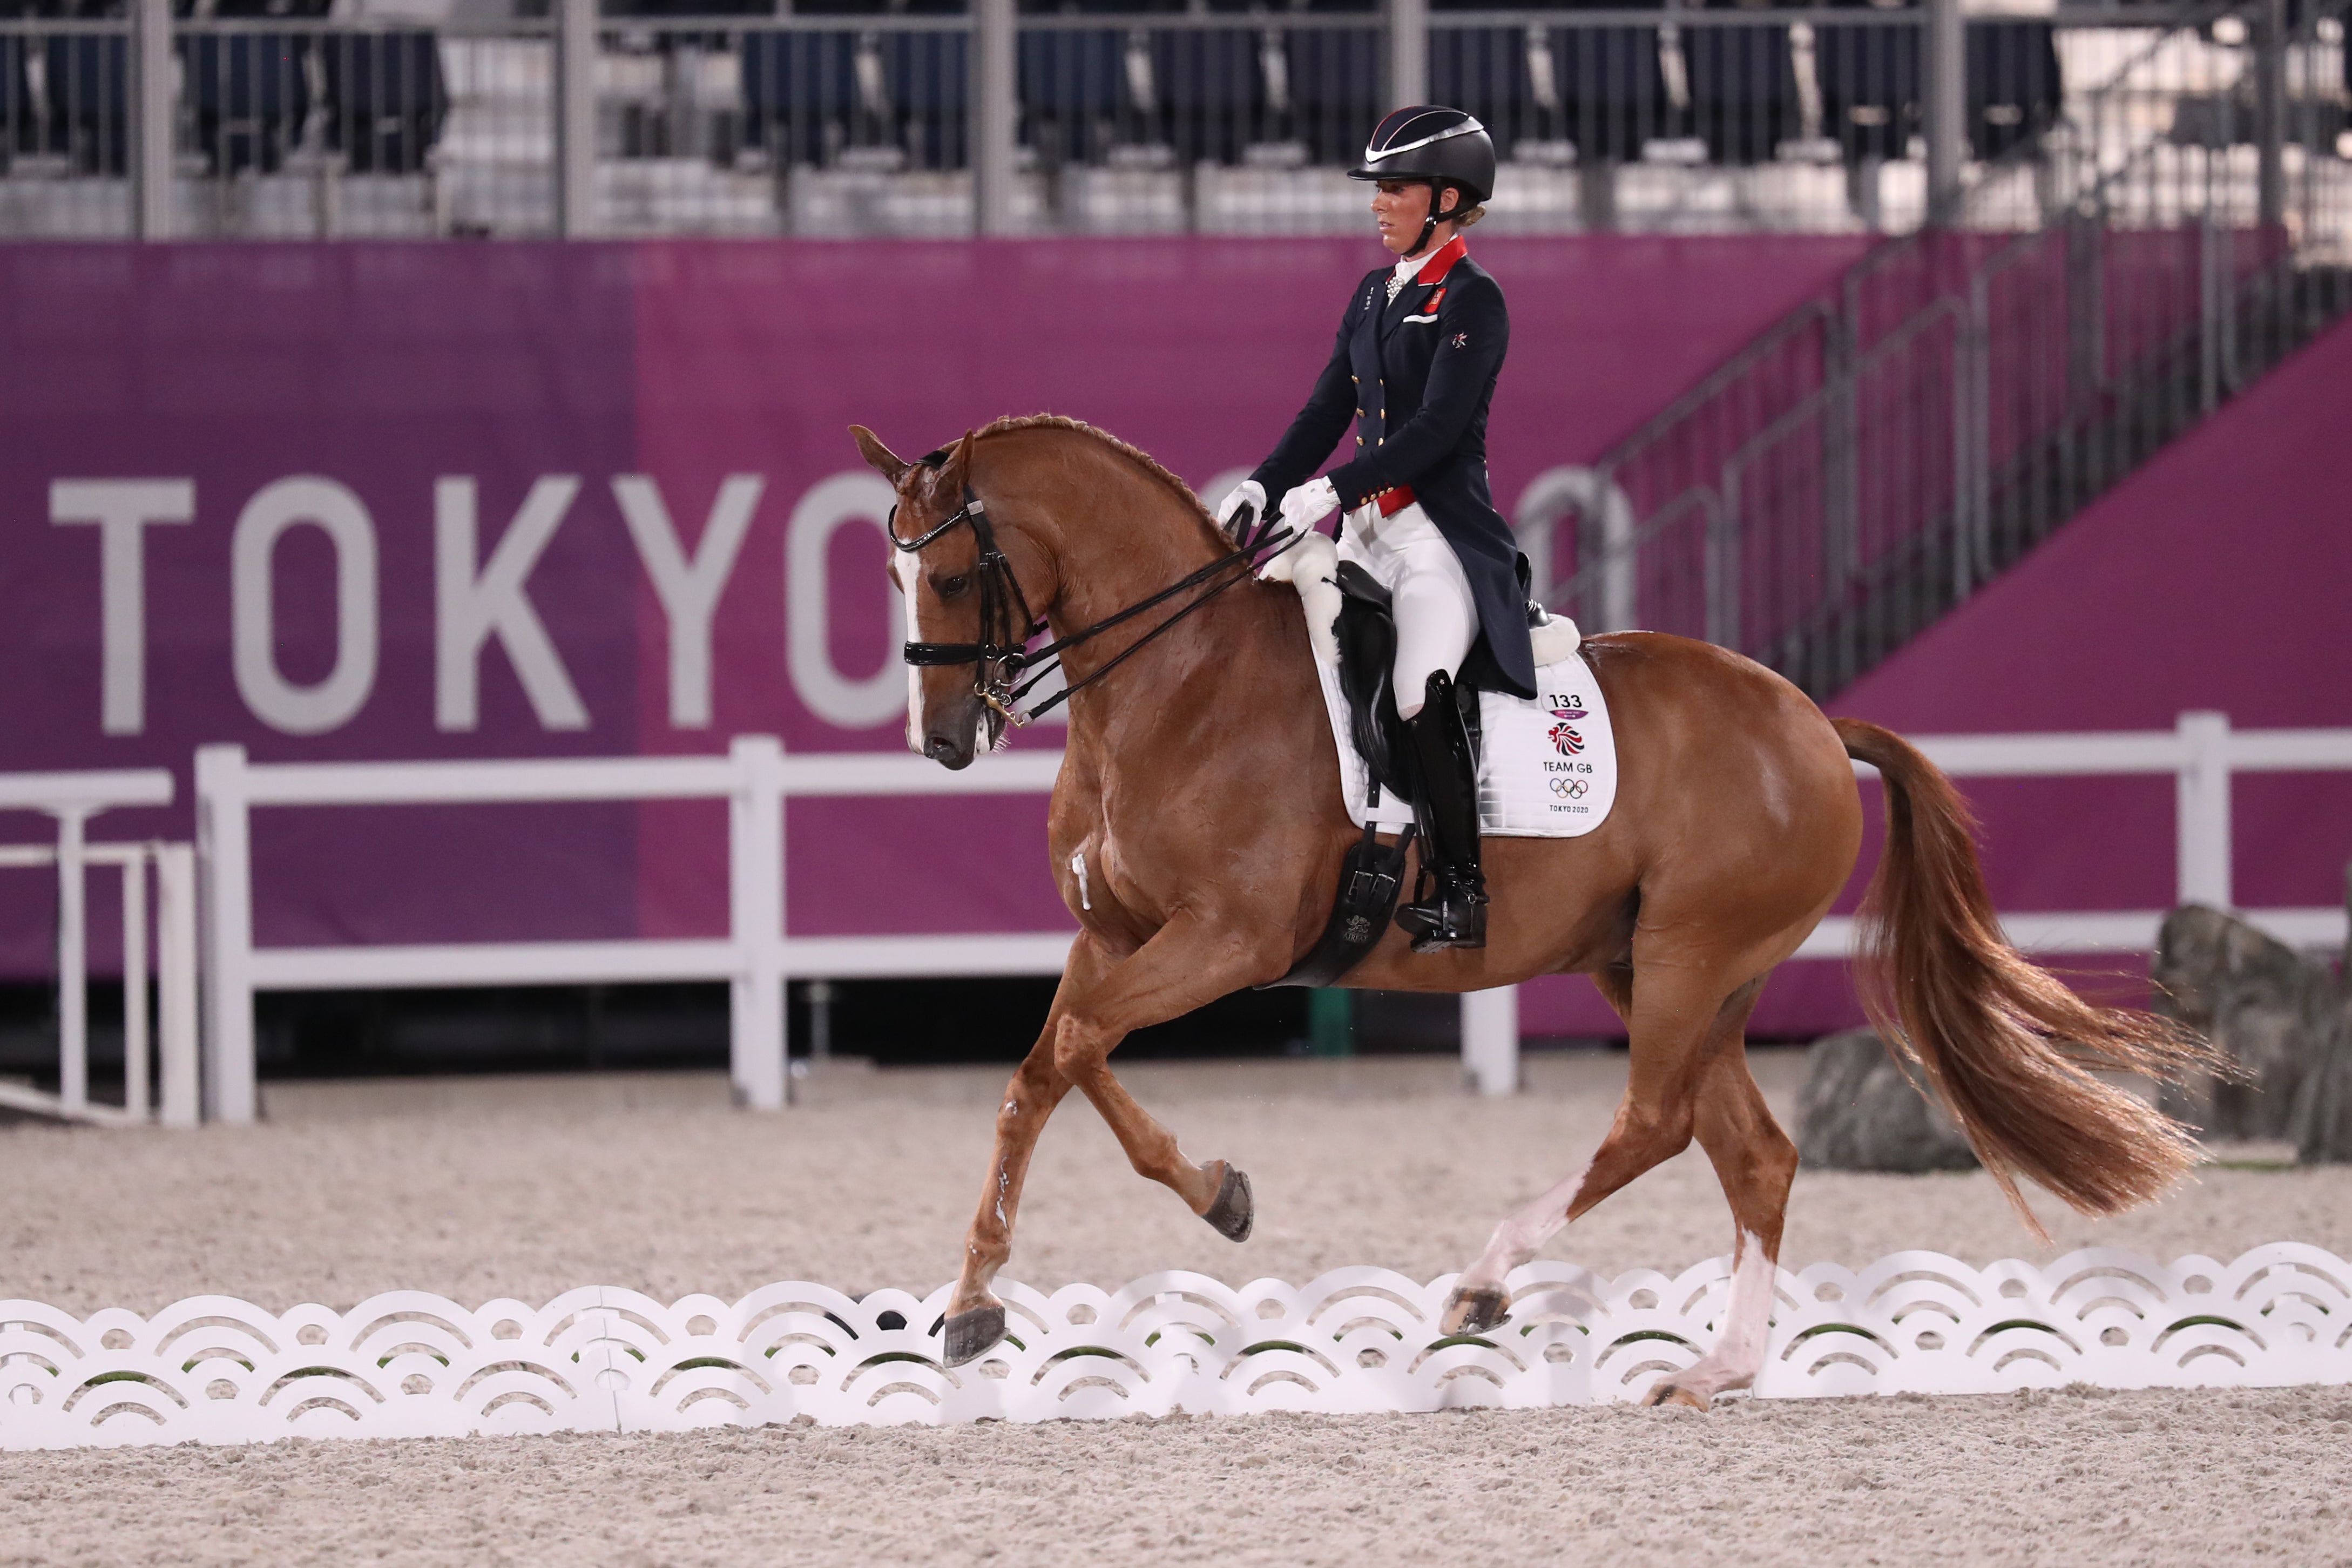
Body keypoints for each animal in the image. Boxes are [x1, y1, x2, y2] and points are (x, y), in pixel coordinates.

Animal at [856, 414, 2211, 1410]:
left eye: (957, 571)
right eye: (890, 571)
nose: (942, 739)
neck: (1176, 685)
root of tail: (1819, 725)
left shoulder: (1227, 941)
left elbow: (1067, 1054)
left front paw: (992, 1291)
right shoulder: (1118, 940)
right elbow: (1057, 1065)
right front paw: (1182, 1208)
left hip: (1687, 953)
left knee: (1655, 1122)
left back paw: (1485, 1283)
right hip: (1670, 969)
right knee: (1752, 1152)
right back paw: (1716, 1368)